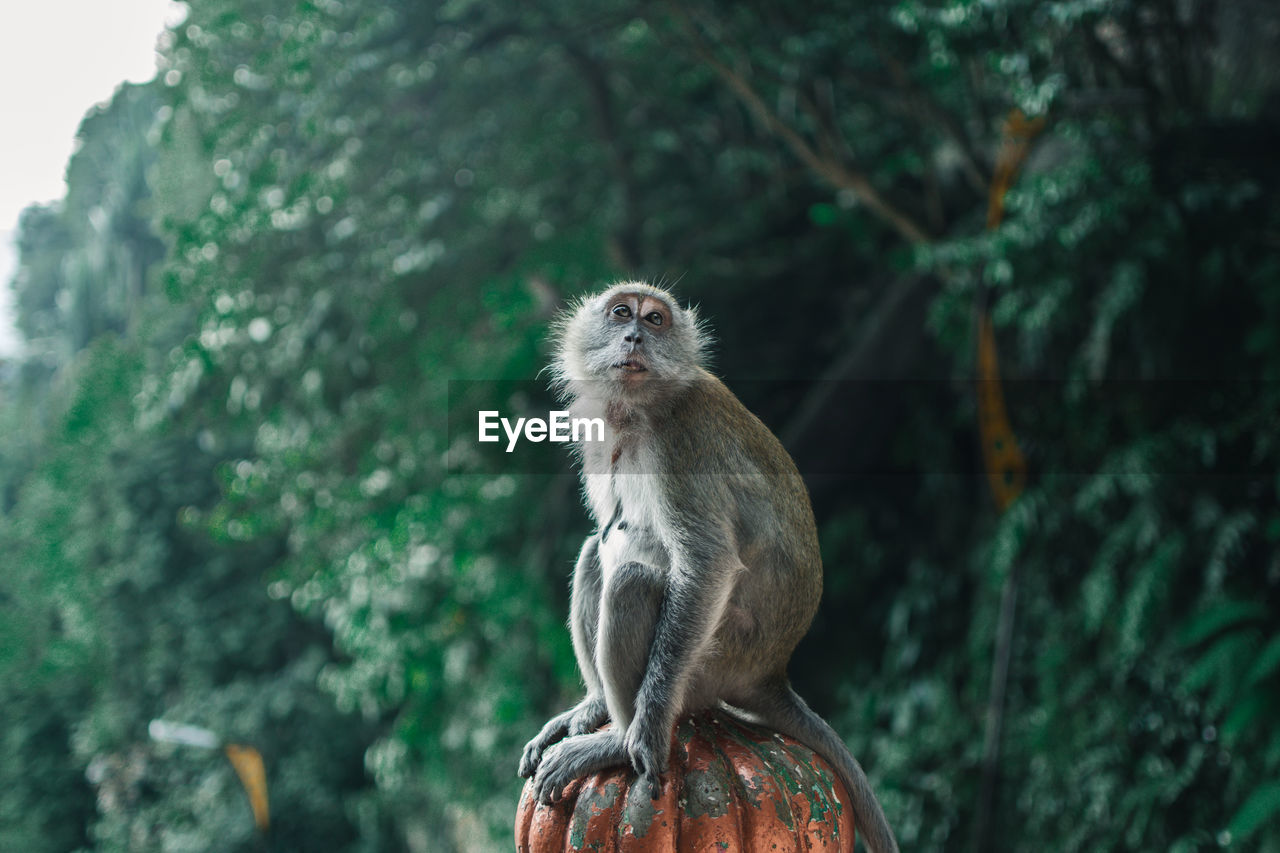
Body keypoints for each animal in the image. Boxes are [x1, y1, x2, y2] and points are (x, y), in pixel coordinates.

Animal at [519, 280, 901, 850]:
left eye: (654, 320)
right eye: (621, 313)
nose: (634, 336)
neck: (636, 411)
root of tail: (770, 671)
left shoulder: (681, 440)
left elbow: (706, 563)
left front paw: (647, 730)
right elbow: (611, 534)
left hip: (711, 663)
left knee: (632, 582)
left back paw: (620, 738)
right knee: (597, 553)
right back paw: (596, 709)